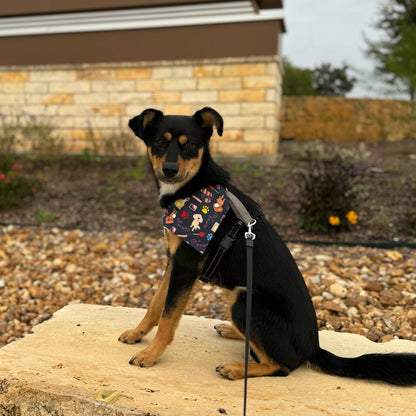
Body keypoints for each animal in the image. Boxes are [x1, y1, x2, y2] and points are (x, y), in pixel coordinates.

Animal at [118, 108, 416, 386]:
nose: (169, 170)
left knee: (282, 366)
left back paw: (237, 368)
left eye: (189, 144)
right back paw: (233, 332)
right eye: (159, 141)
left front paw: (150, 355)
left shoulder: (187, 266)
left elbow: (169, 317)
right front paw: (136, 334)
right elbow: (156, 305)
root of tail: (313, 348)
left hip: (243, 297)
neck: (192, 191)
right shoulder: (174, 261)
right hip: (234, 294)